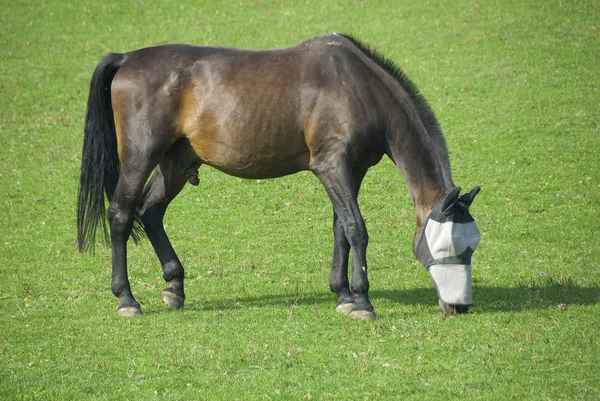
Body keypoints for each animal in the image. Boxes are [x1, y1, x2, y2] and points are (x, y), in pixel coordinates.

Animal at [77, 32, 480, 318]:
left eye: (472, 246)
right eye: (448, 247)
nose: (460, 306)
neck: (356, 86)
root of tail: (127, 59)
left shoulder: (353, 171)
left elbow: (340, 228)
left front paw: (343, 295)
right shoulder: (331, 167)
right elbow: (356, 230)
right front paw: (362, 302)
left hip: (173, 165)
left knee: (150, 213)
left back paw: (175, 287)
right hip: (140, 158)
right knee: (121, 215)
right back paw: (127, 299)